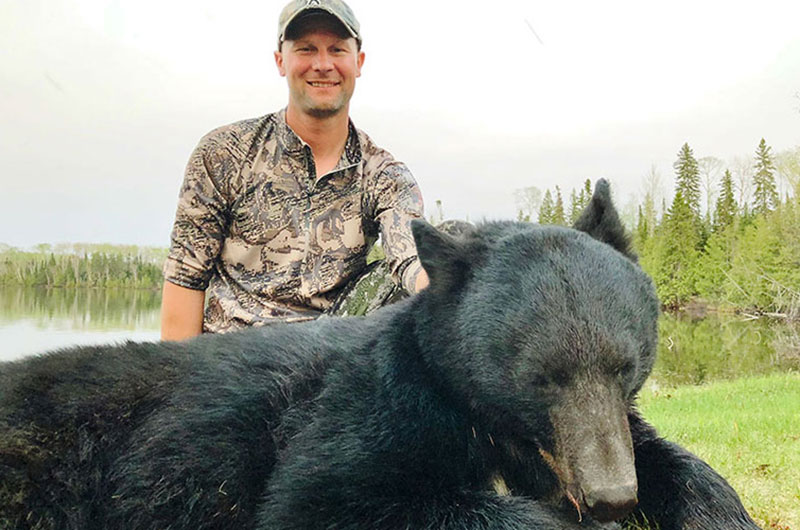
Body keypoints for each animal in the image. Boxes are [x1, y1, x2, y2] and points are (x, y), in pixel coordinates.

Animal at [0, 180, 760, 530]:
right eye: (540, 378)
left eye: (626, 366)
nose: (610, 497)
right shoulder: (362, 412)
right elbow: (327, 498)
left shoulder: (606, 430)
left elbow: (678, 462)